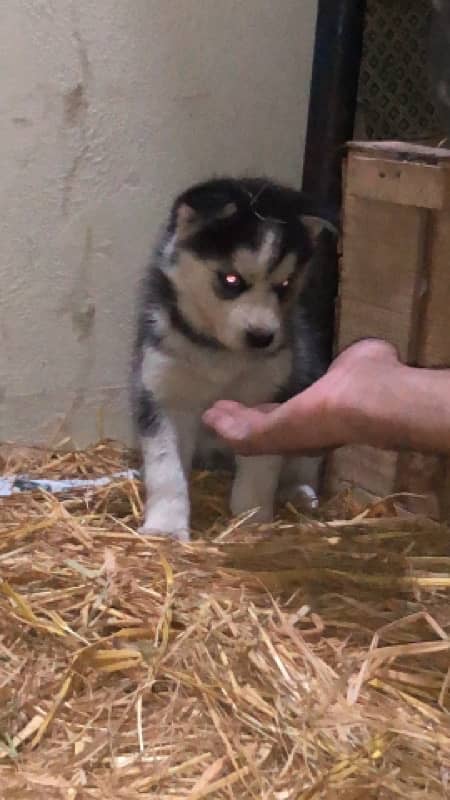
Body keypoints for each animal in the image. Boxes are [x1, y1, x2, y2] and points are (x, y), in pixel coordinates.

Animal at [132, 178, 336, 540]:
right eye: (231, 280)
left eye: (285, 284)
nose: (262, 337)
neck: (220, 354)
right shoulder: (161, 393)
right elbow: (166, 468)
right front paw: (166, 526)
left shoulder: (268, 397)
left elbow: (260, 467)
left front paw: (250, 520)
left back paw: (298, 492)